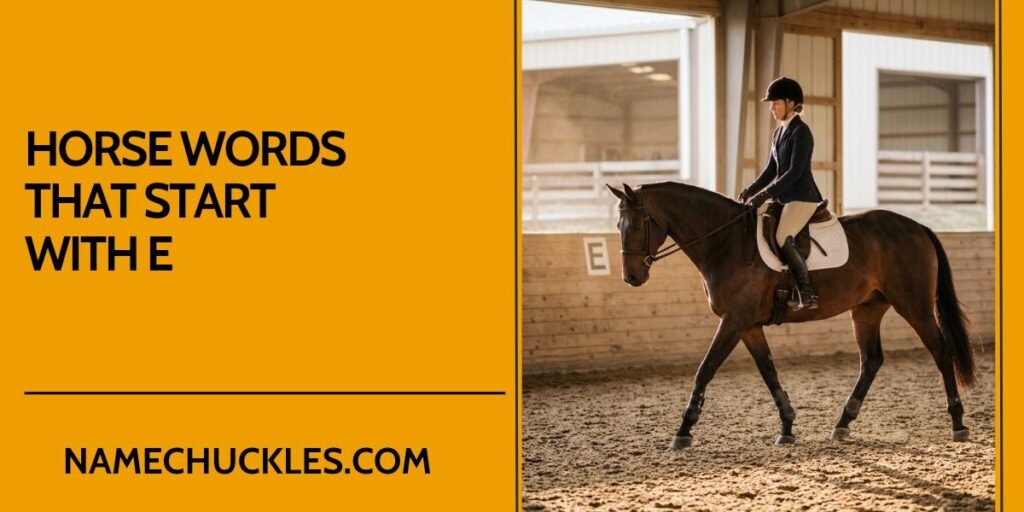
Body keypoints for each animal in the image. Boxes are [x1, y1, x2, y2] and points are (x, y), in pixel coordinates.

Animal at [605, 182, 977, 449]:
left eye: (636, 225)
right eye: (618, 225)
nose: (632, 277)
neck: (726, 242)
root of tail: (917, 226)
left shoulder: (733, 321)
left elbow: (705, 370)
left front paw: (683, 431)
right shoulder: (748, 325)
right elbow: (768, 371)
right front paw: (786, 426)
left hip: (914, 306)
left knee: (941, 351)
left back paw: (958, 422)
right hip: (868, 309)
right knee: (871, 360)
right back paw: (842, 424)